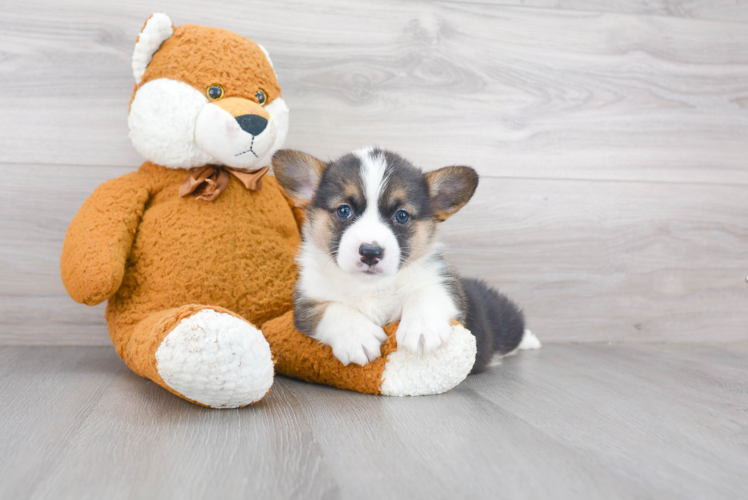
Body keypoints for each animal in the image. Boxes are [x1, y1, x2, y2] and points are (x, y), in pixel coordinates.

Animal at [274, 146, 536, 370]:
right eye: (344, 210)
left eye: (401, 215)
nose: (370, 252)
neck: (371, 287)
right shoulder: (307, 301)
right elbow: (332, 309)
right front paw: (357, 336)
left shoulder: (446, 286)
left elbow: (425, 293)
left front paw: (422, 330)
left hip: (503, 319)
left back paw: (530, 340)